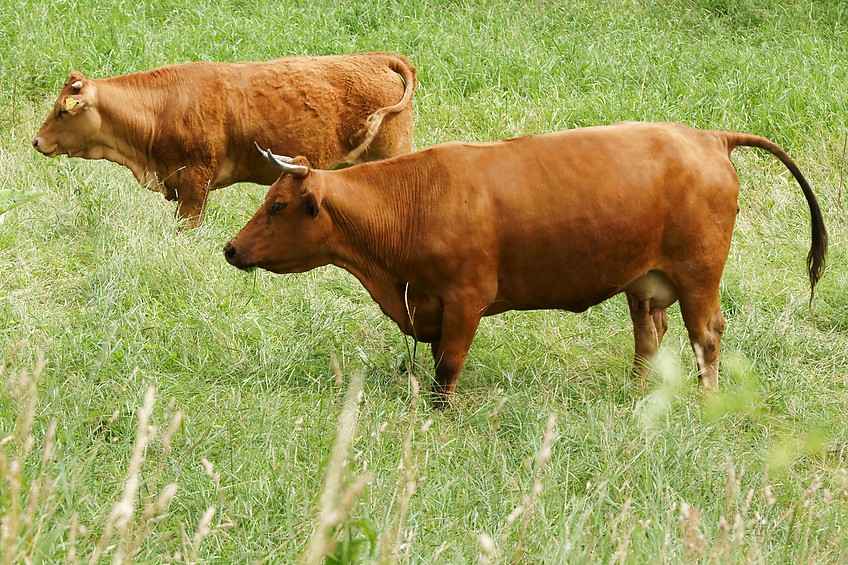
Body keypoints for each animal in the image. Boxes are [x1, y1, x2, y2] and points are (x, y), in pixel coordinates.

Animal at [222, 123, 824, 406]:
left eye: (277, 206)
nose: (230, 249)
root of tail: (708, 136)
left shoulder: (465, 299)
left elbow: (448, 365)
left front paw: (442, 414)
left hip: (700, 275)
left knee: (706, 336)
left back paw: (706, 400)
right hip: (643, 281)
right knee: (649, 334)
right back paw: (636, 391)